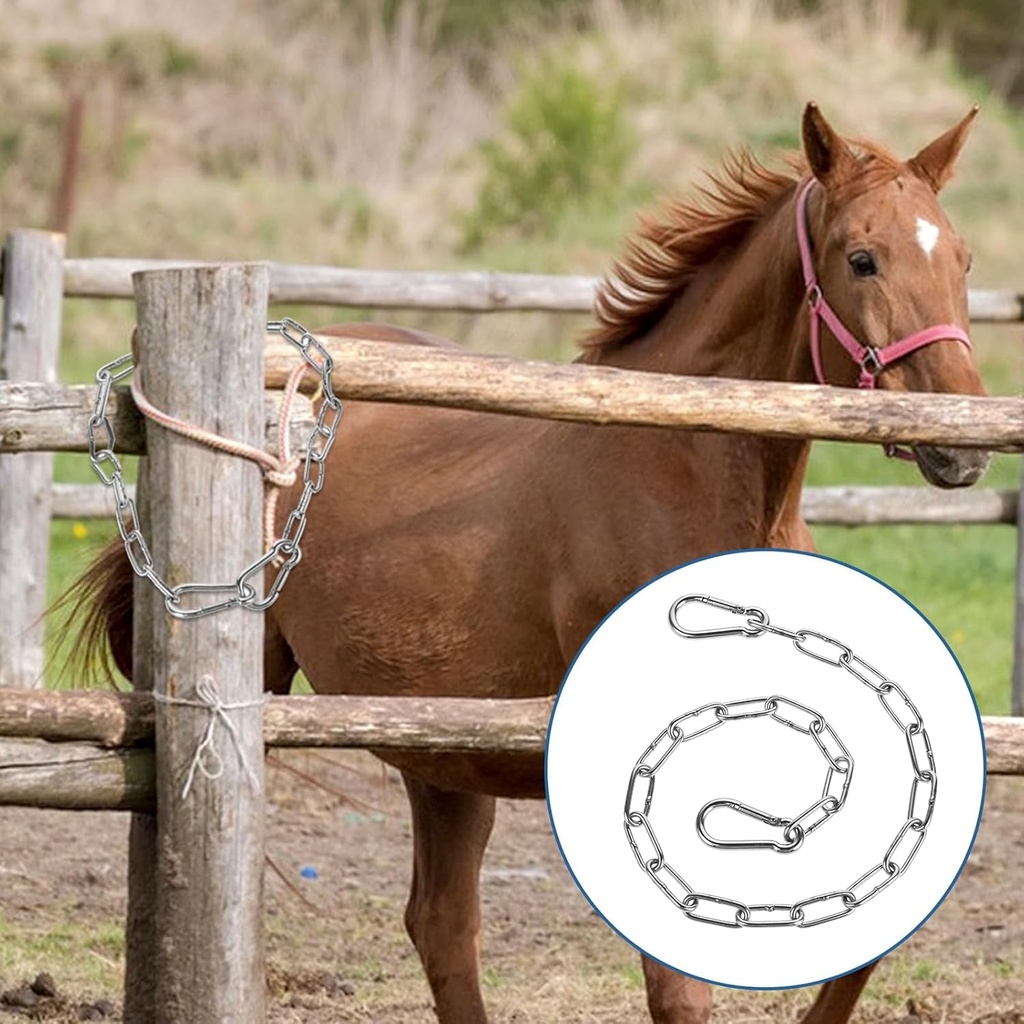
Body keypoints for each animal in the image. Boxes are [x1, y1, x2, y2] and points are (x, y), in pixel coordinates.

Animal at [69, 103, 988, 1023]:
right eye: (862, 258)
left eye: (962, 257)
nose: (964, 442)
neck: (683, 468)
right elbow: (679, 985)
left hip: (438, 745)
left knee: (443, 925)